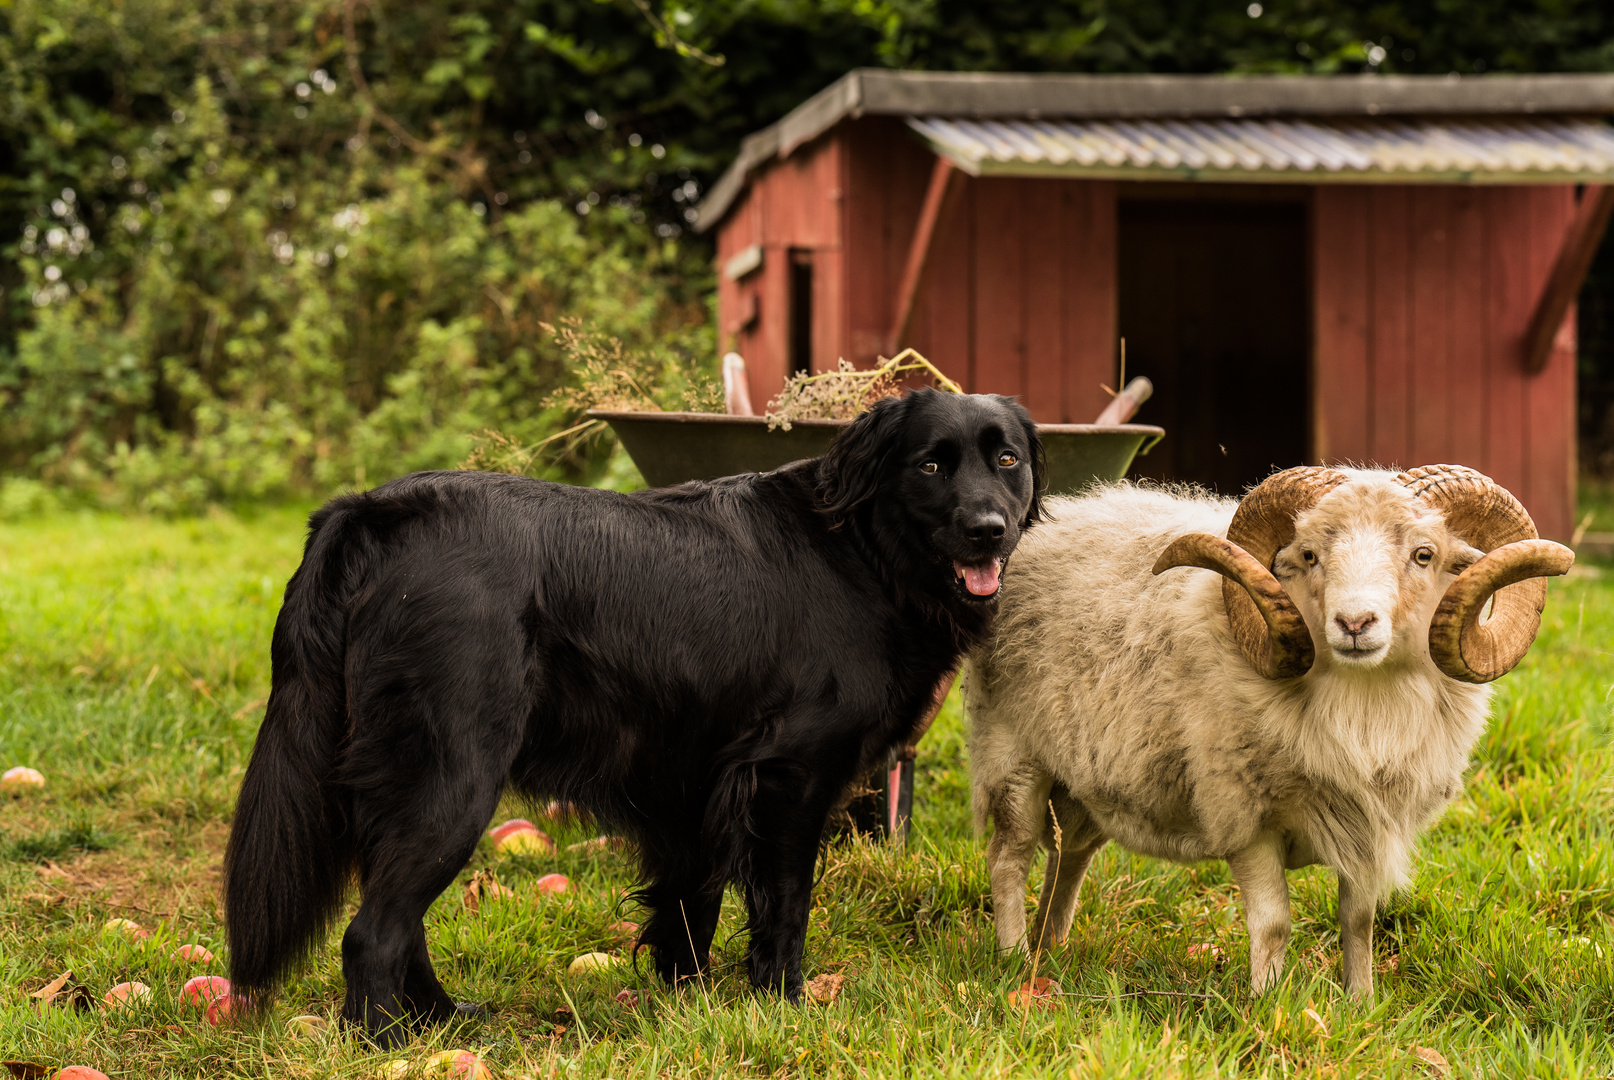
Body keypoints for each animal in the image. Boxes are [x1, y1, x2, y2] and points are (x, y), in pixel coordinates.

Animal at [224, 385, 1032, 1033]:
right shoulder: (789, 777)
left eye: (1007, 460)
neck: (864, 549)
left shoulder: (692, 780)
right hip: (452, 776)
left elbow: (689, 906)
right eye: (930, 466)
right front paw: (784, 1004)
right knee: (373, 933)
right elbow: (784, 905)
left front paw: (690, 1002)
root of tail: (369, 509)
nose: (990, 530)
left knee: (400, 921)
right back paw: (389, 1042)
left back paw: (441, 1019)